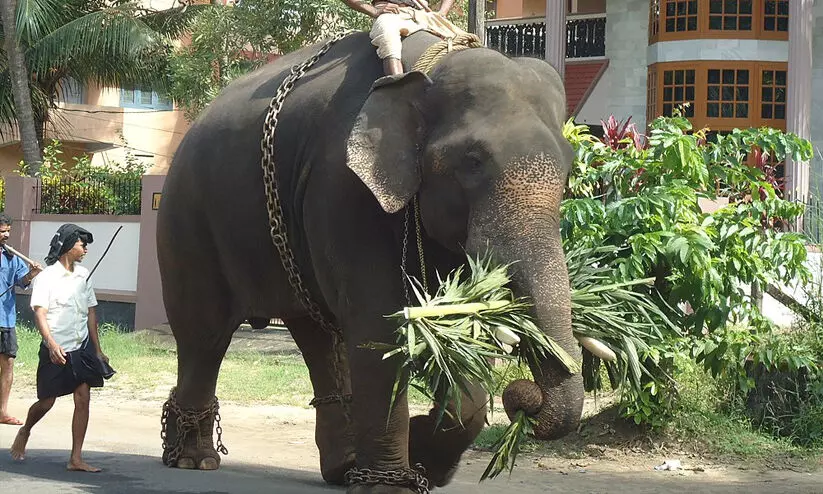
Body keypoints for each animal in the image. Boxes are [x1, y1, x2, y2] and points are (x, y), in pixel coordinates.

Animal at [156, 30, 582, 493]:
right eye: (472, 161)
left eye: (569, 168)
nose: (526, 400)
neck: (427, 67)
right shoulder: (342, 189)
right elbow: (381, 323)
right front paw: (393, 481)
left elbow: (455, 324)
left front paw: (423, 457)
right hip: (188, 219)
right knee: (204, 335)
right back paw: (193, 460)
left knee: (318, 336)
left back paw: (341, 469)